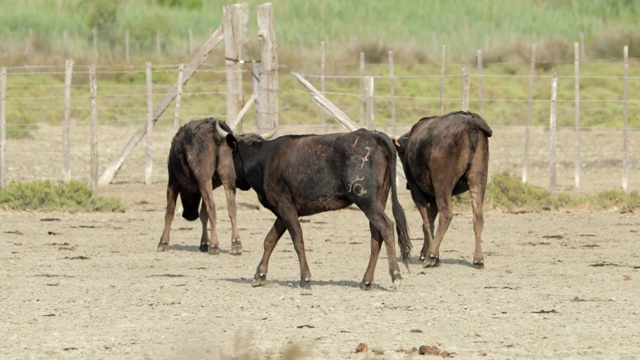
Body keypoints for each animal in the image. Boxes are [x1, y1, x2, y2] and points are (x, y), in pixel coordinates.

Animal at [158, 118, 242, 253]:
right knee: (231, 207)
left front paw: (163, 242)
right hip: (228, 178)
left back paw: (214, 245)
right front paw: (204, 243)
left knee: (212, 207)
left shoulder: (173, 182)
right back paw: (236, 243)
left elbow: (169, 211)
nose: (190, 215)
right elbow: (203, 214)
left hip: (204, 179)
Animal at [218, 124, 412, 290]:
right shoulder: (283, 210)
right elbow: (270, 240)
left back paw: (396, 276)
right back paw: (366, 281)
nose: (235, 180)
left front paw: (305, 277)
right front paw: (260, 275)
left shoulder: (284, 206)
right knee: (376, 234)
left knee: (386, 226)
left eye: (232, 154)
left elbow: (297, 239)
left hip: (366, 199)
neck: (266, 160)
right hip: (378, 200)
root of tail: (371, 134)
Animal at [392, 111, 492, 268]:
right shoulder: (433, 197)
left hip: (442, 185)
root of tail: (471, 123)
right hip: (478, 179)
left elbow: (427, 222)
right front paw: (426, 251)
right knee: (478, 216)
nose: (406, 185)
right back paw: (478, 258)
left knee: (446, 215)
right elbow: (430, 221)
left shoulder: (417, 191)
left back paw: (431, 256)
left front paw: (430, 254)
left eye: (400, 153)